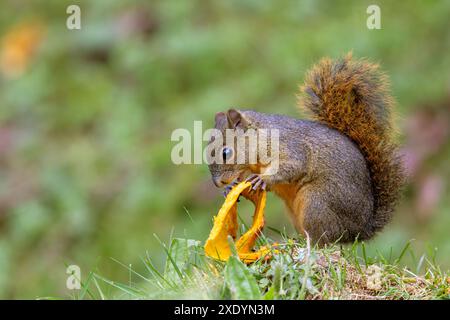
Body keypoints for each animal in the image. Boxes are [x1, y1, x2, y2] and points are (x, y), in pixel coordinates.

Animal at [208, 53, 404, 244]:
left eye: (225, 152)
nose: (218, 183)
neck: (261, 136)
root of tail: (361, 230)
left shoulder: (291, 146)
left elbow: (293, 166)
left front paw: (263, 178)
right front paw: (230, 187)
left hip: (316, 203)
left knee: (325, 238)